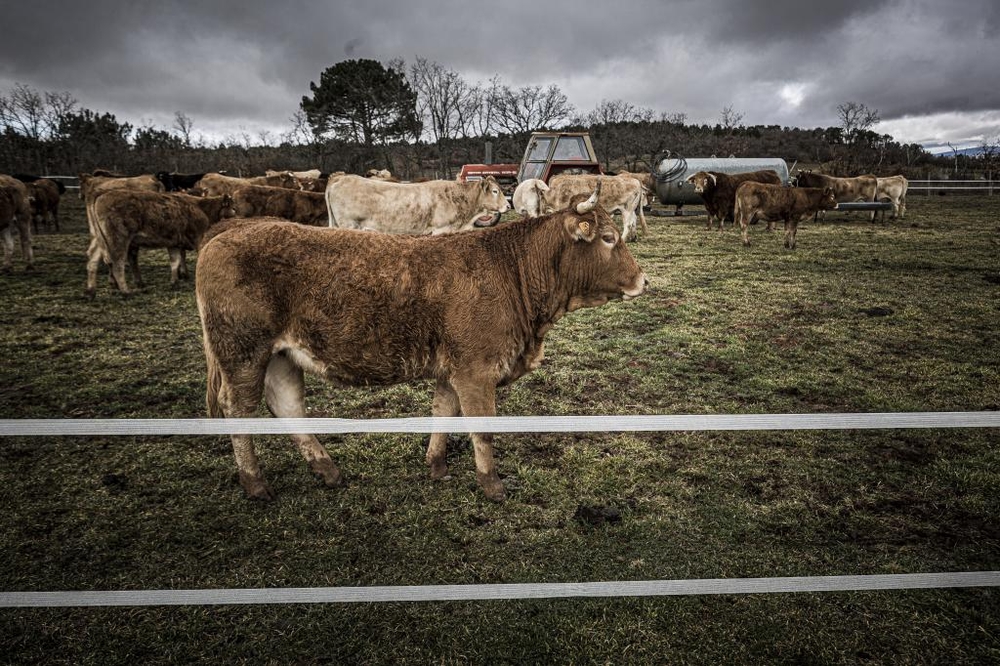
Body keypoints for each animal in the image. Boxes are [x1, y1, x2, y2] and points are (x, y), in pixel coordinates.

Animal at [85, 191, 235, 296]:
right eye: (233, 208)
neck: (202, 208)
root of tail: (101, 195)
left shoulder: (174, 243)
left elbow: (175, 261)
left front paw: (174, 282)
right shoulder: (198, 239)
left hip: (100, 240)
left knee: (94, 260)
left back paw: (91, 290)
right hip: (118, 240)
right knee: (117, 263)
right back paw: (126, 291)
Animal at [195, 184, 648, 500]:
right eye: (608, 238)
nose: (643, 280)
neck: (512, 269)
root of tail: (227, 232)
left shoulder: (453, 368)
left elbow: (443, 414)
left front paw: (437, 466)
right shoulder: (476, 371)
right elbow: (482, 428)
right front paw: (492, 485)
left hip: (282, 355)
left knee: (287, 405)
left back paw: (327, 470)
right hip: (242, 353)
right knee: (239, 411)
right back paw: (254, 483)